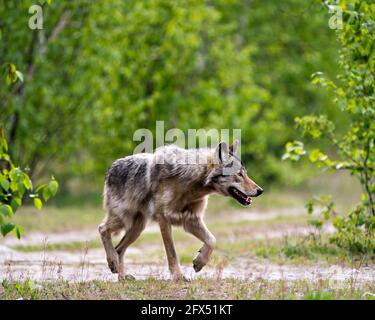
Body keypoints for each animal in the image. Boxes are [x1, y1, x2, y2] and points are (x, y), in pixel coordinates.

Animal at [100, 141, 264, 282]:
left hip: (137, 228)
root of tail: (111, 168)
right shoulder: (164, 220)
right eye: (239, 174)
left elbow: (212, 240)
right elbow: (172, 253)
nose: (260, 190)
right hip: (123, 220)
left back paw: (121, 276)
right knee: (102, 229)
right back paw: (113, 262)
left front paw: (199, 262)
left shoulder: (191, 220)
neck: (191, 184)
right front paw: (179, 277)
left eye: (246, 173)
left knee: (119, 249)